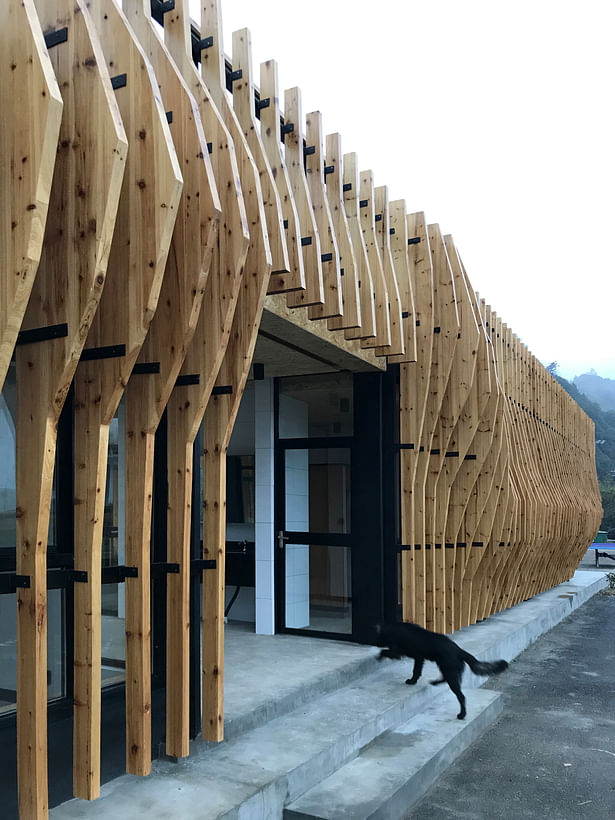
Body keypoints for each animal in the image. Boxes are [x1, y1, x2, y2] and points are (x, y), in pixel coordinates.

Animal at [378, 620, 508, 716]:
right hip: (447, 668)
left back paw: (462, 715)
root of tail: (459, 650)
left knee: (461, 695)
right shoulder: (419, 658)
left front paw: (378, 657)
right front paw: (413, 681)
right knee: (445, 679)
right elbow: (416, 671)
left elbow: (384, 652)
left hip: (448, 670)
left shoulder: (399, 651)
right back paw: (434, 682)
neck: (391, 628)